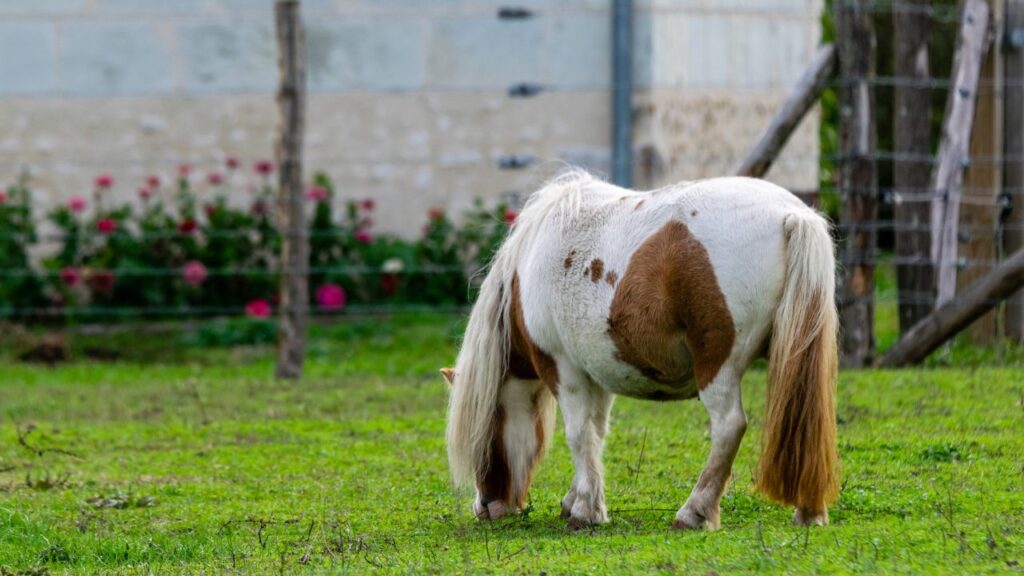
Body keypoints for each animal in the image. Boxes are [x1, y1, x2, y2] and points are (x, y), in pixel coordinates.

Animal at [442, 169, 839, 530]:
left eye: (487, 426)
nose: (486, 506)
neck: (530, 262)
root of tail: (790, 214)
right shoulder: (596, 373)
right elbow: (595, 434)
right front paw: (578, 500)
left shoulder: (563, 369)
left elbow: (577, 434)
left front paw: (585, 511)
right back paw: (809, 510)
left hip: (717, 366)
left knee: (729, 426)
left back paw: (694, 512)